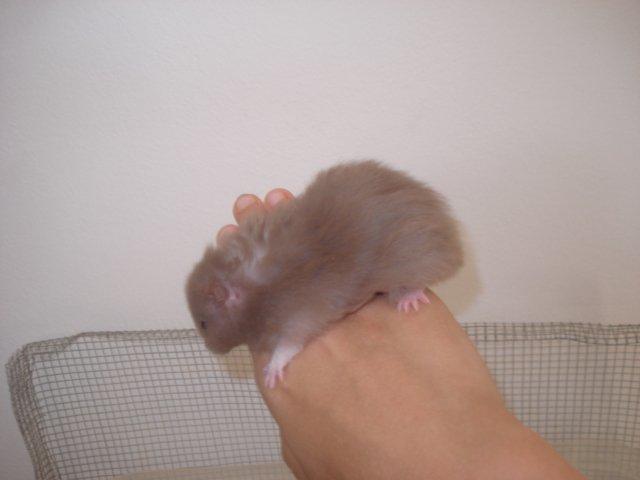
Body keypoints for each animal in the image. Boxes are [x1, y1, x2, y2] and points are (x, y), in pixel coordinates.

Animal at [186, 160, 463, 388]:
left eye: (203, 324)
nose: (210, 349)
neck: (252, 290)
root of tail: (449, 231)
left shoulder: (296, 319)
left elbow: (286, 348)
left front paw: (271, 376)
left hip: (412, 260)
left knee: (420, 280)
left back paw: (409, 300)